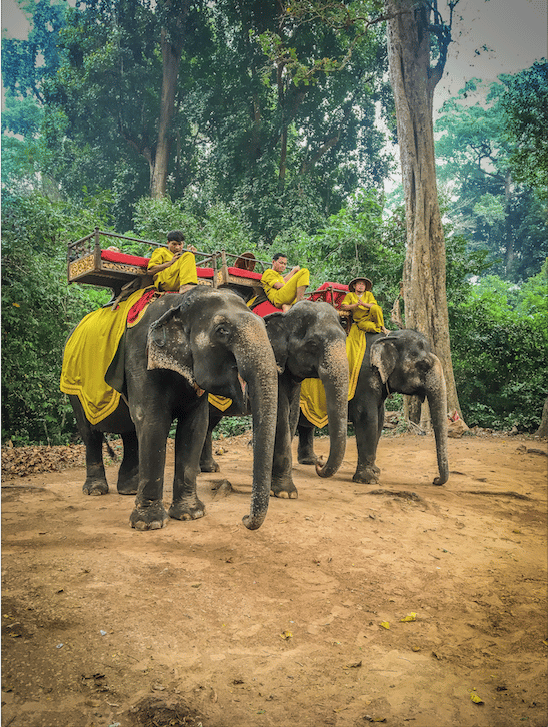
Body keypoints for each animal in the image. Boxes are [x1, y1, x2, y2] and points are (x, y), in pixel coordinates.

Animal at [65, 288, 278, 532]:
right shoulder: (141, 358)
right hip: (75, 390)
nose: (244, 519)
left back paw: (129, 490)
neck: (179, 301)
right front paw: (148, 523)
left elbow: (195, 427)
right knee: (90, 433)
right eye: (222, 331)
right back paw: (96, 490)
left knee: (130, 432)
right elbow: (153, 422)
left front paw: (190, 514)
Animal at [199, 302, 348, 500]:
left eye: (345, 339)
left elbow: (292, 417)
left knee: (209, 422)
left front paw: (271, 485)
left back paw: (208, 469)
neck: (284, 317)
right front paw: (285, 493)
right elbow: (280, 419)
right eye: (313, 344)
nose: (319, 463)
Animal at [298, 330, 448, 490]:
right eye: (423, 365)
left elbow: (380, 419)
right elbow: (367, 418)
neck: (388, 337)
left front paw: (376, 471)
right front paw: (368, 480)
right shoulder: (364, 379)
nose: (435, 480)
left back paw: (310, 461)